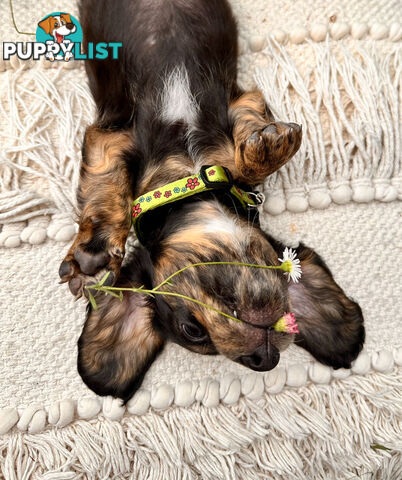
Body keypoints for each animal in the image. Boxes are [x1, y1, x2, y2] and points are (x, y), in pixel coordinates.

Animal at [59, 0, 364, 404]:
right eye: (193, 330)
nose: (264, 360)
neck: (192, 174)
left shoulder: (242, 101)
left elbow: (248, 145)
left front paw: (266, 147)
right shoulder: (110, 136)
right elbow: (106, 190)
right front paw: (91, 253)